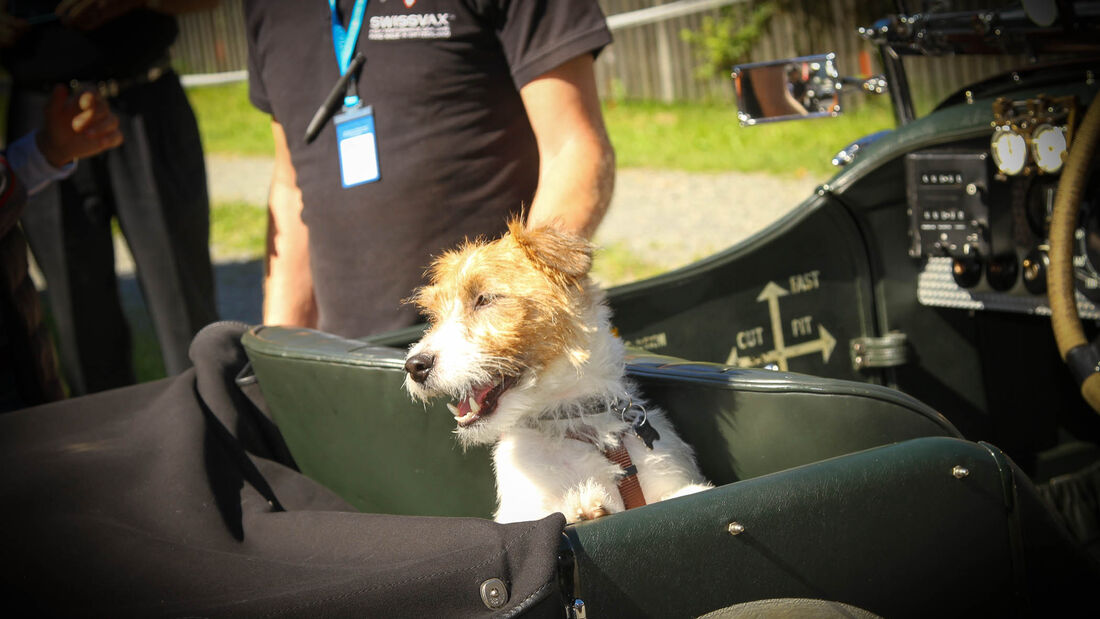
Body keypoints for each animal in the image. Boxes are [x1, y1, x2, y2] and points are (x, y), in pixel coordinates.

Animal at [404, 219, 712, 525]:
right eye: (433, 315)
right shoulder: (521, 513)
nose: (414, 366)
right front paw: (585, 506)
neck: (575, 423)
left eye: (484, 299)